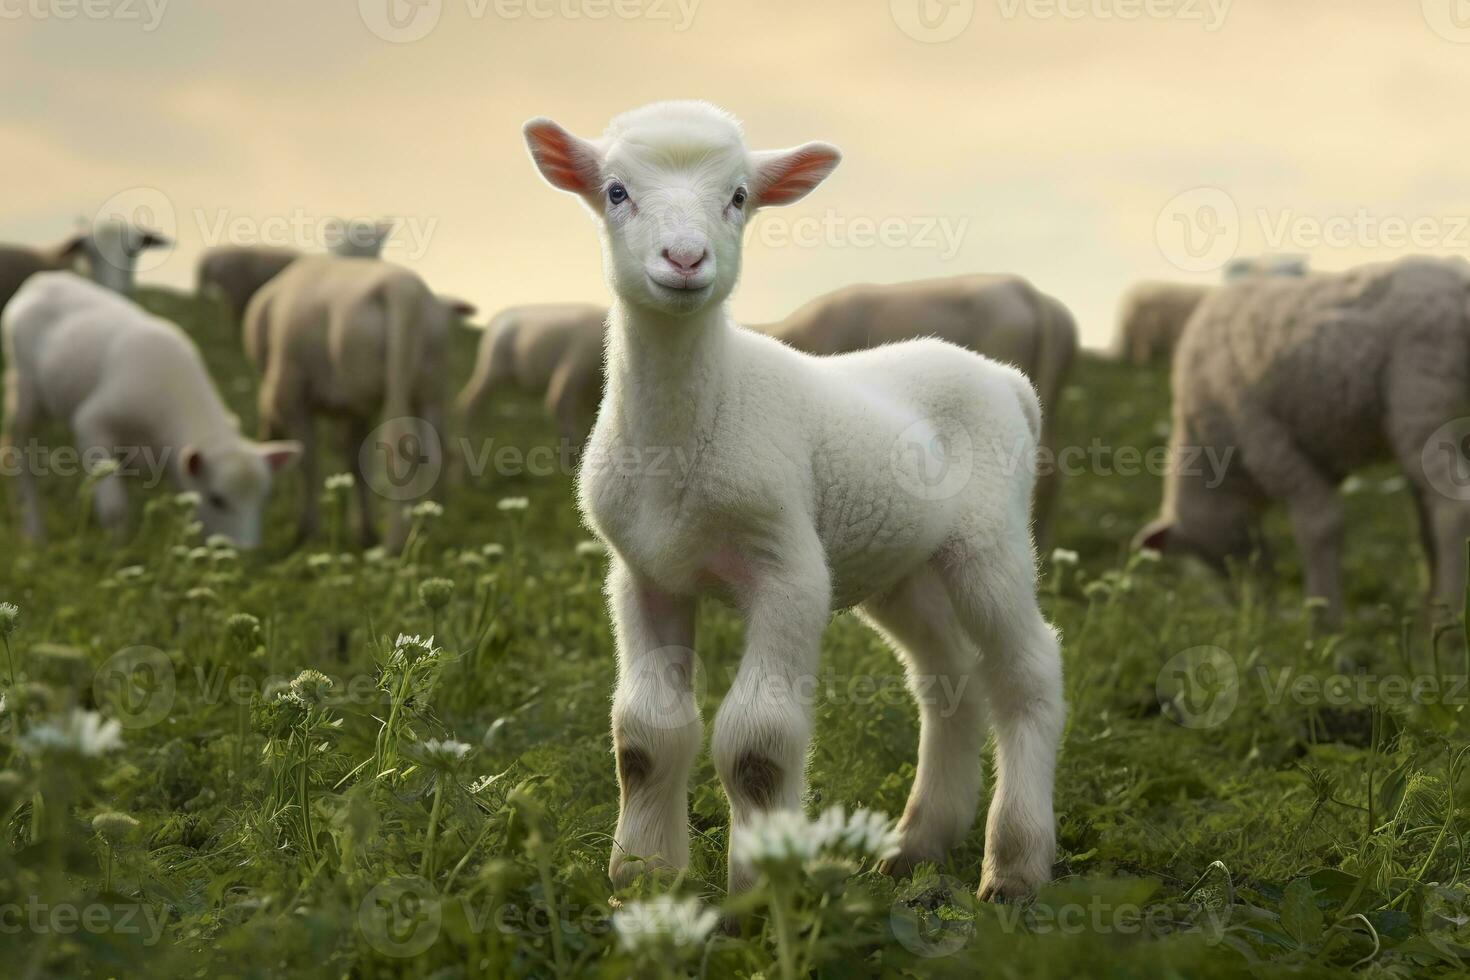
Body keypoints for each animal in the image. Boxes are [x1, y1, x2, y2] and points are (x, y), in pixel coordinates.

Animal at [2, 271, 301, 549]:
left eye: (264, 498)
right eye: (217, 500)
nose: (245, 552)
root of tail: (43, 279)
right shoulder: (93, 424)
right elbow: (114, 507)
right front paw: (117, 550)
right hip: (24, 391)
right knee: (22, 458)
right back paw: (34, 532)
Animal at [452, 304, 602, 443]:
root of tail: (495, 321)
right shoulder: (574, 368)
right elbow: (562, 414)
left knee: (479, 404)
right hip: (491, 368)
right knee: (469, 401)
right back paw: (469, 439)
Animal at [523, 101, 1064, 905]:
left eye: (739, 195)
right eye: (616, 191)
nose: (685, 260)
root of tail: (1006, 380)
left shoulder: (788, 569)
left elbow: (757, 744)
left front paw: (760, 889)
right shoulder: (643, 575)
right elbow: (645, 736)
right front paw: (644, 880)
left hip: (987, 541)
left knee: (1028, 672)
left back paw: (1016, 865)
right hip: (899, 566)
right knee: (949, 680)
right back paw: (916, 844)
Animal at [1140, 257, 1470, 625]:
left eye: (1212, 559)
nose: (1251, 609)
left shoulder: (1265, 439)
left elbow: (1319, 526)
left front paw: (1323, 625)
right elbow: (1419, 533)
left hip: (1422, 396)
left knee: (1454, 508)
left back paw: (1449, 623)